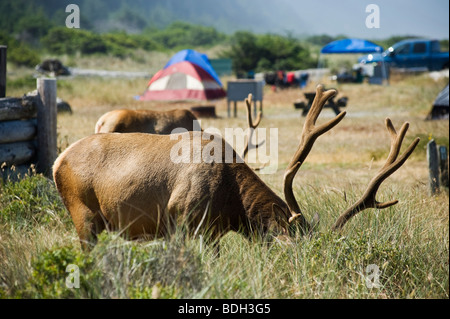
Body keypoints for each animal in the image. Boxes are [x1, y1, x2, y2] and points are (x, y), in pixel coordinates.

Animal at [53, 85, 422, 250]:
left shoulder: (212, 233)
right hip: (84, 216)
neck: (230, 202)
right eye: (291, 250)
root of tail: (58, 161)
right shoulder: (182, 221)